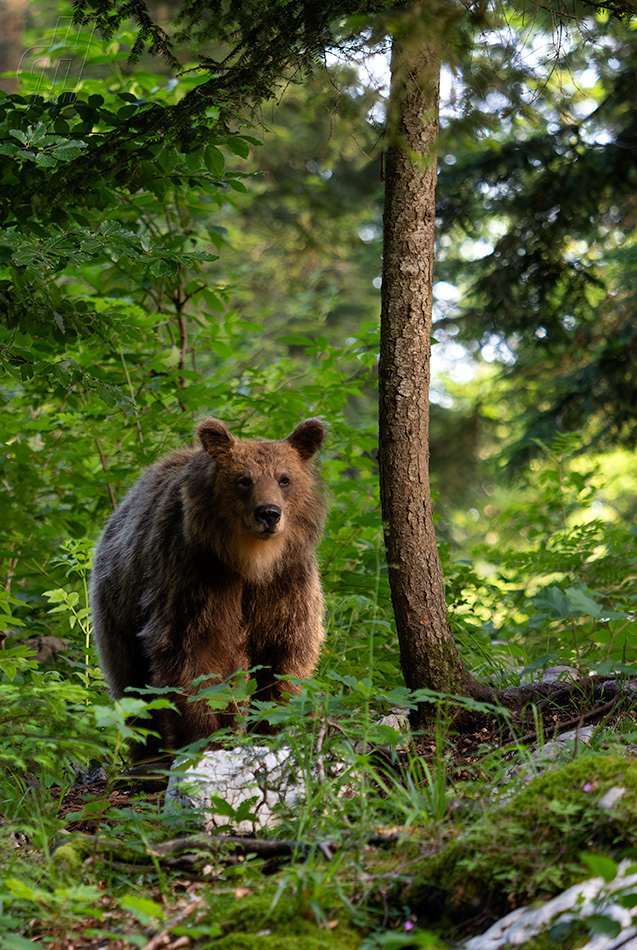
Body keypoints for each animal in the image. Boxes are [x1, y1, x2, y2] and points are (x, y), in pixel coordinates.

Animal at [89, 420, 326, 764]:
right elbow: (190, 656)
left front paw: (271, 729)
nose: (269, 513)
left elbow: (285, 656)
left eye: (285, 479)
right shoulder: (195, 577)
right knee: (133, 683)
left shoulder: (284, 584)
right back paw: (149, 756)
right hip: (119, 603)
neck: (250, 563)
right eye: (243, 479)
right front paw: (204, 737)